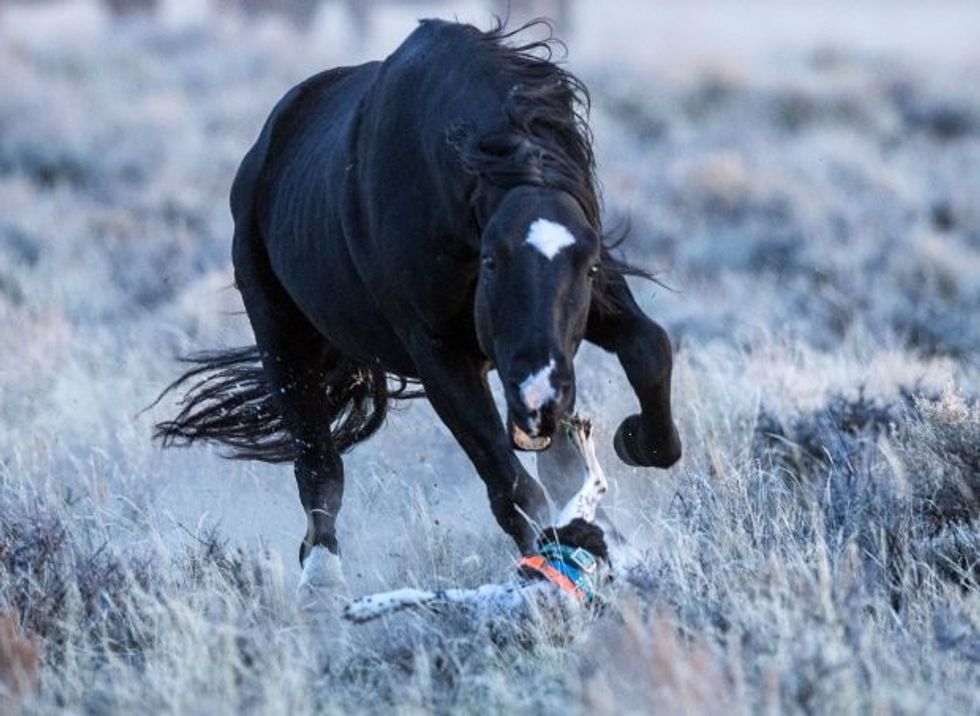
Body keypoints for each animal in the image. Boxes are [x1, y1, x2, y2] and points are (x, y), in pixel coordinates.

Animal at [154, 19, 681, 579]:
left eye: (590, 264)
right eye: (491, 261)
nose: (540, 392)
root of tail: (261, 156)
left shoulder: (597, 302)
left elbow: (650, 349)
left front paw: (635, 444)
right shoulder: (437, 355)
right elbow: (508, 480)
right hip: (283, 341)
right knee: (318, 466)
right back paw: (321, 578)